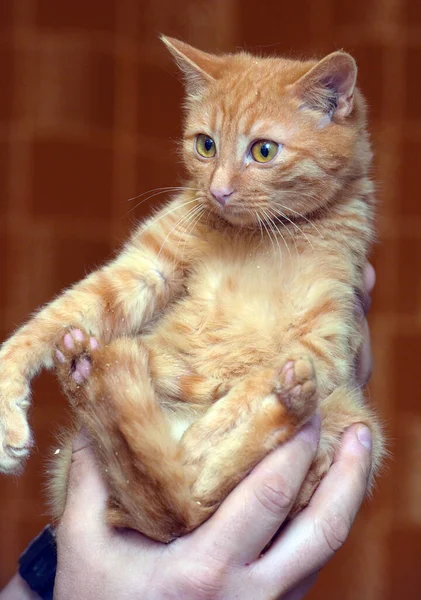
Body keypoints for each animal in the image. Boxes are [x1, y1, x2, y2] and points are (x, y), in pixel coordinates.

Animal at [0, 37, 384, 544]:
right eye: (206, 145)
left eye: (264, 151)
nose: (217, 191)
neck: (259, 238)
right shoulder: (146, 268)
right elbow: (57, 315)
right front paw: (5, 402)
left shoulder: (326, 342)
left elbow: (248, 389)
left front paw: (206, 434)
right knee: (179, 501)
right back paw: (82, 373)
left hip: (350, 412)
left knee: (196, 500)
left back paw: (283, 405)